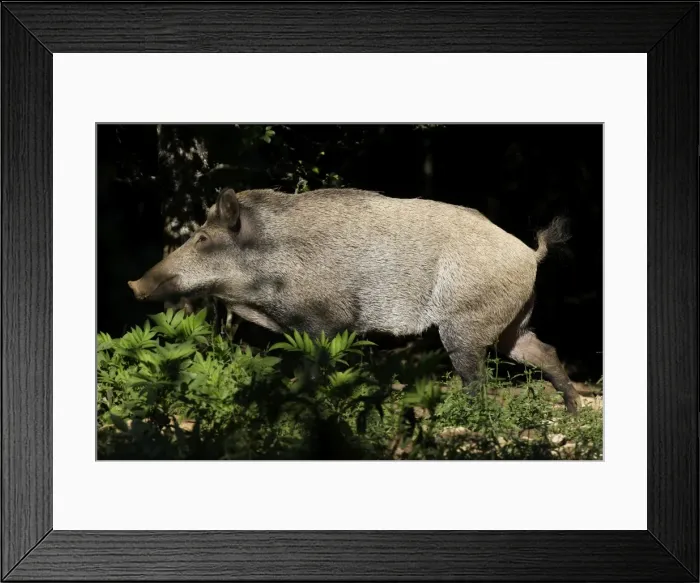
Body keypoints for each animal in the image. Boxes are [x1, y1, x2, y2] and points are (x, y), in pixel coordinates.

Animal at [128, 187, 580, 413]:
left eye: (203, 238)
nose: (133, 284)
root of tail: (529, 254)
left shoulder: (326, 321)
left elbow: (315, 369)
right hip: (510, 324)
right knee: (544, 351)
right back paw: (572, 412)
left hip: (466, 325)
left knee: (478, 379)